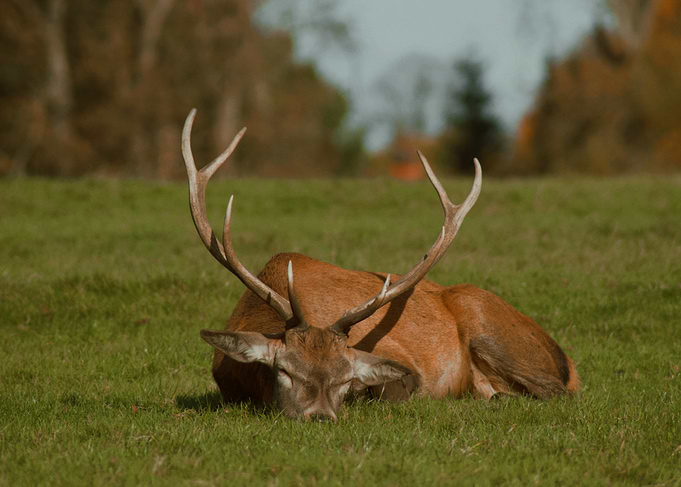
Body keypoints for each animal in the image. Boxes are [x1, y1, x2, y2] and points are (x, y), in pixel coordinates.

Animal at [182, 109, 580, 422]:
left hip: (488, 323)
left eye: (345, 379)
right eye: (285, 371)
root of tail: (568, 363)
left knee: (556, 393)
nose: (320, 416)